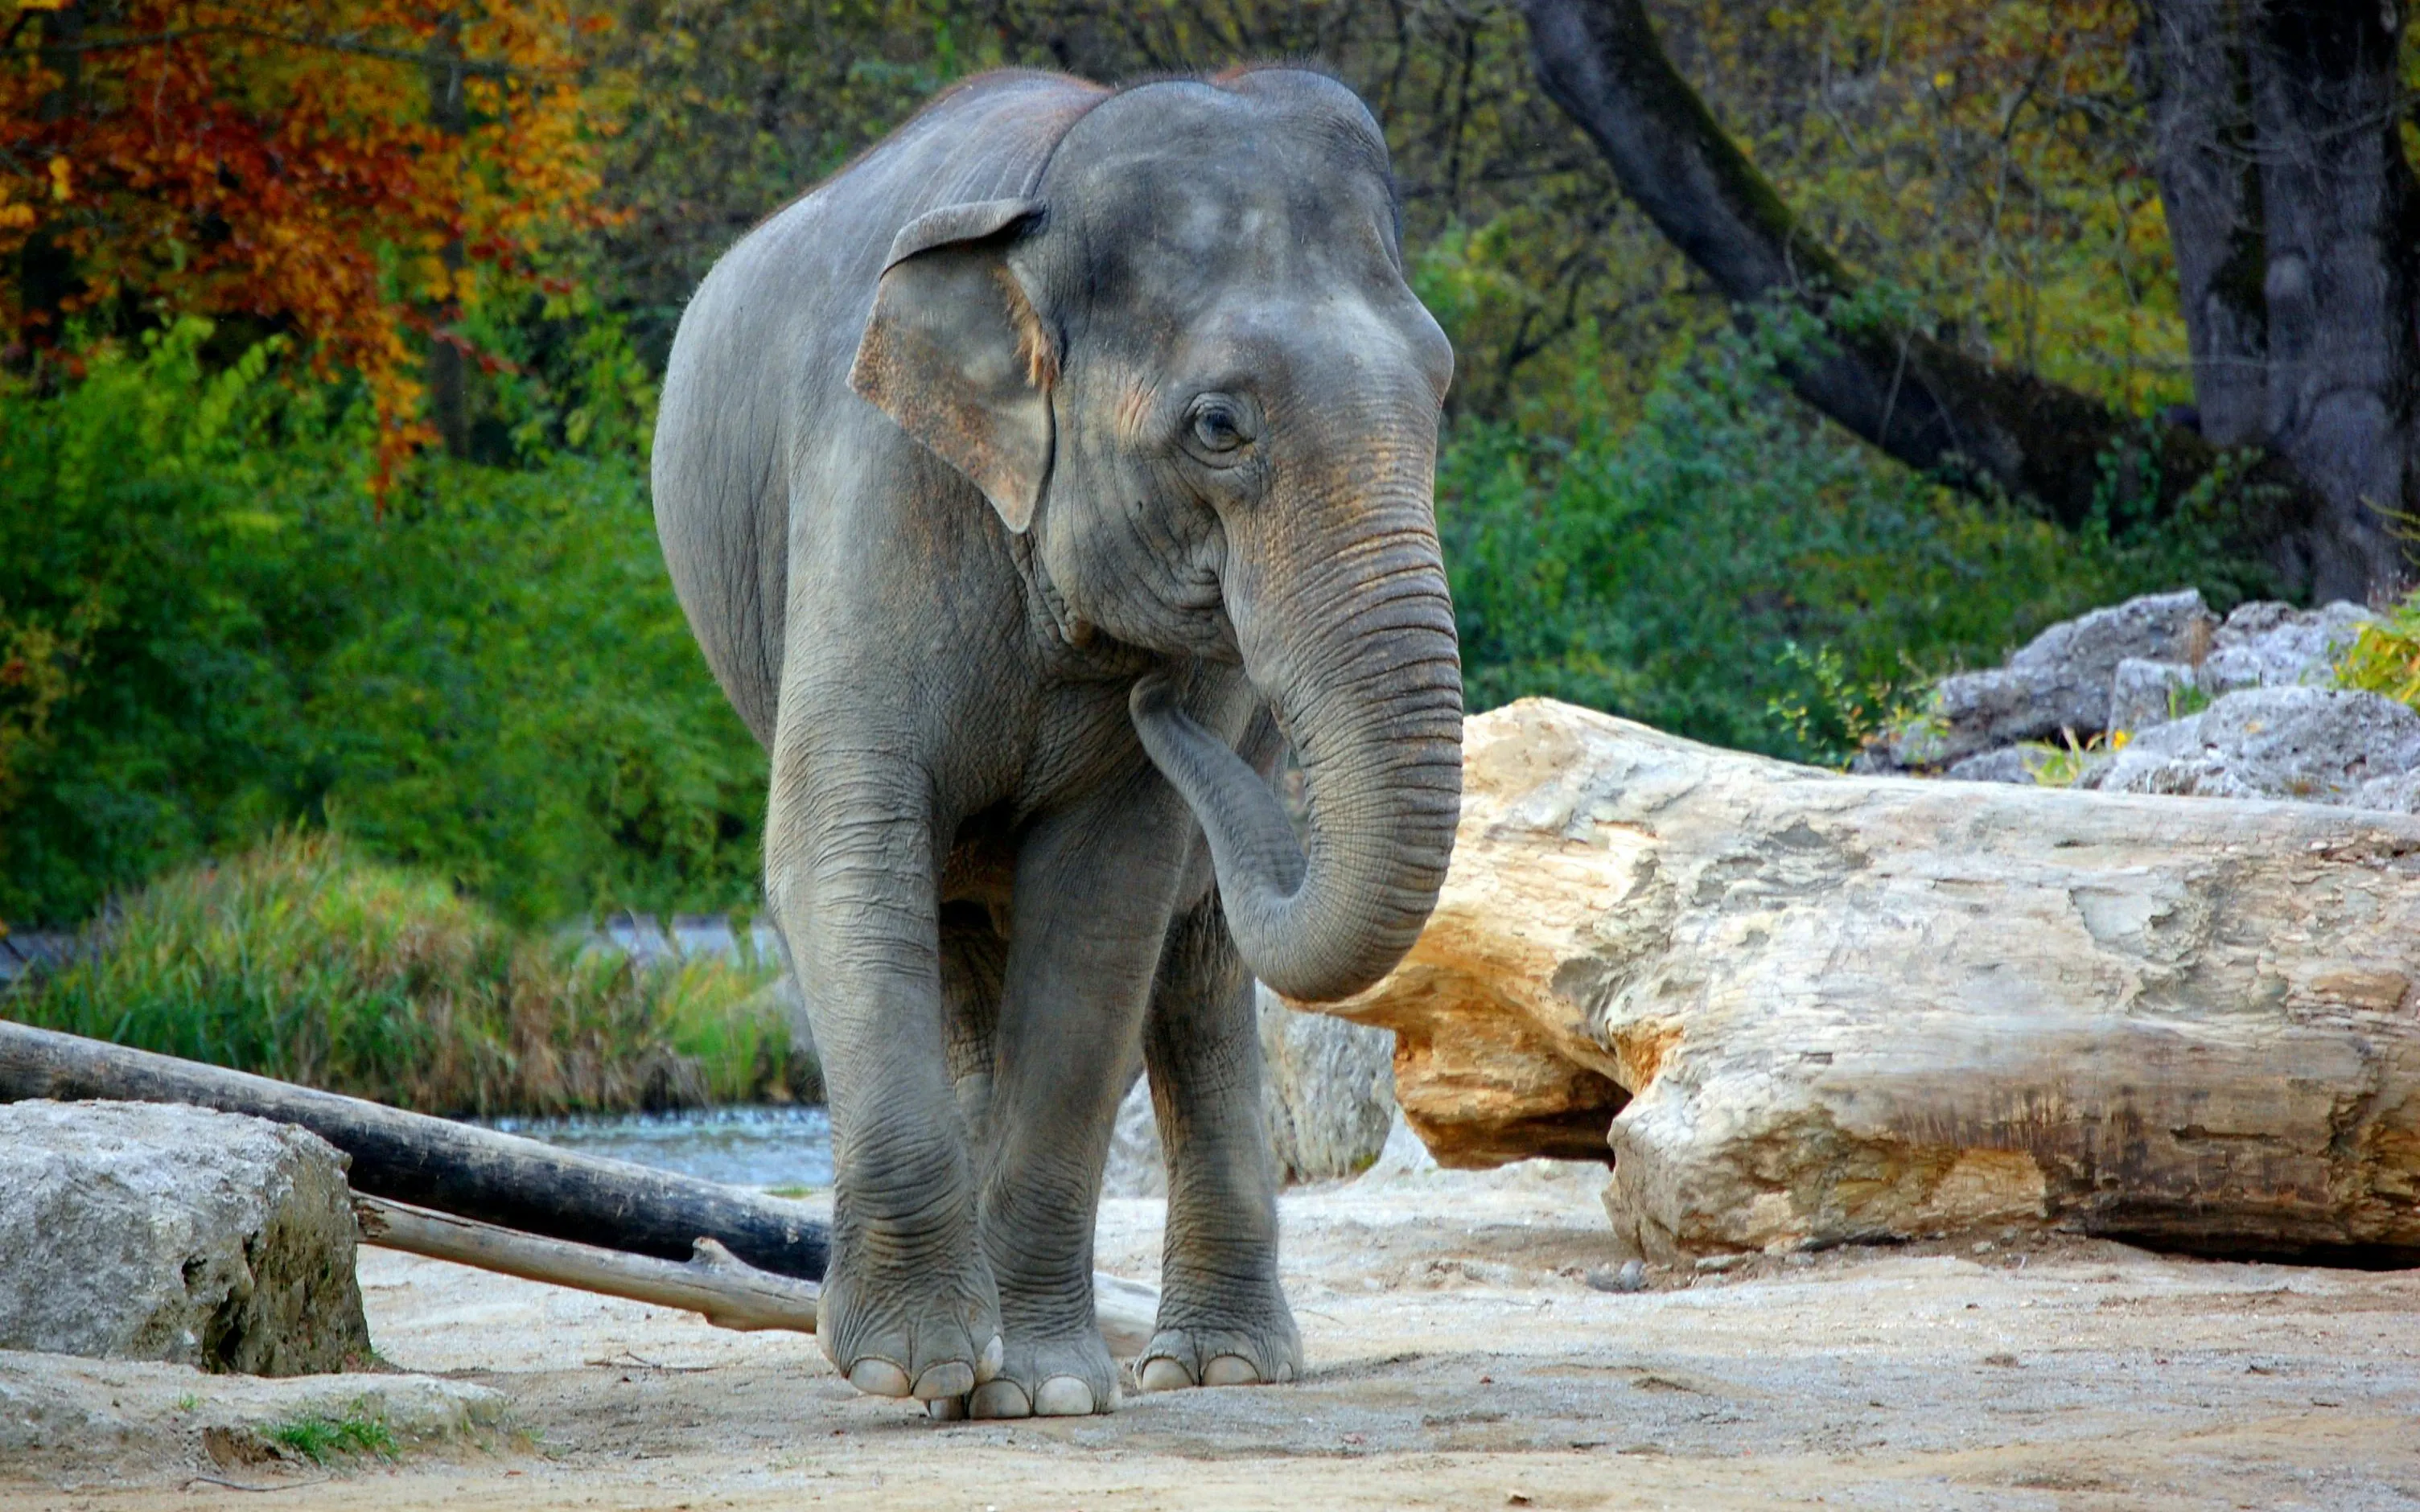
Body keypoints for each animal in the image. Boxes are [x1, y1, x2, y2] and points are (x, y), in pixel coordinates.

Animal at [650, 65, 1461, 1419]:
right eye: (1218, 424)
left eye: (1443, 390)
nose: (1165, 701)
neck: (1043, 201)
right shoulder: (879, 484)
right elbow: (841, 844)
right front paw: (914, 1369)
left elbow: (1101, 915)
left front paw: (1039, 1391)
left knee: (1195, 962)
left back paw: (1222, 1366)